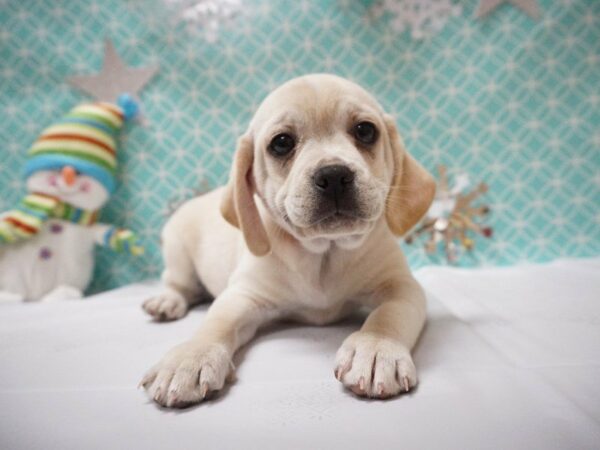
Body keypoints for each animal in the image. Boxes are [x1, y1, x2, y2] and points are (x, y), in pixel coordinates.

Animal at [141, 73, 436, 408]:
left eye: (365, 130)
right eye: (281, 143)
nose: (334, 175)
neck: (325, 252)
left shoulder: (401, 287)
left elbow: (387, 316)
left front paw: (375, 349)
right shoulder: (243, 295)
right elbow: (215, 324)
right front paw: (190, 357)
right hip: (178, 252)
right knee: (179, 285)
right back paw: (166, 301)